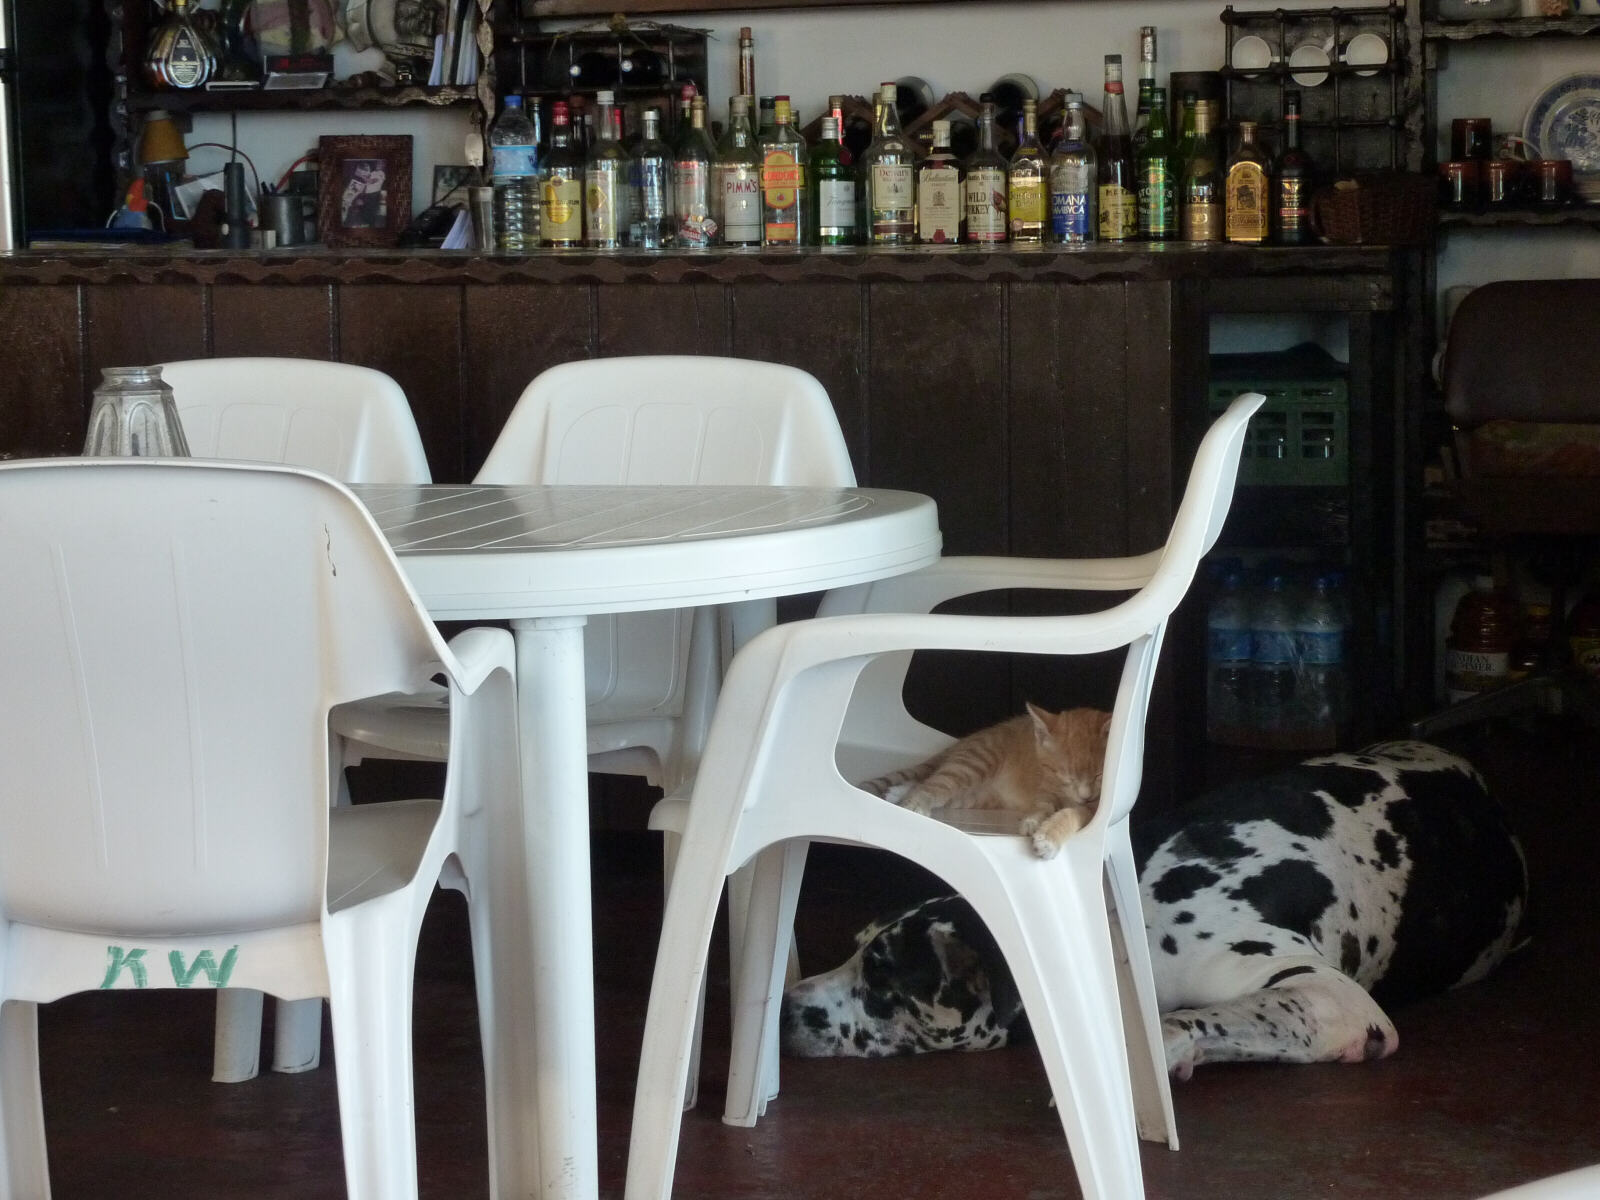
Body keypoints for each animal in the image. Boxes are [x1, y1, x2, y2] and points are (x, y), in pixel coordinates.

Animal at [864, 704, 1113, 864]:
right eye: (1065, 776)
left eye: (1099, 775)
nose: (1085, 795)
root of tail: (964, 742)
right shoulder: (1047, 787)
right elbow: (1043, 805)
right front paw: (1034, 820)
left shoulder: (1093, 807)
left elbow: (1071, 813)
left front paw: (1049, 835)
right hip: (973, 765)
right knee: (935, 783)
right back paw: (911, 802)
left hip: (976, 797)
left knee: (937, 788)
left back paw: (897, 793)